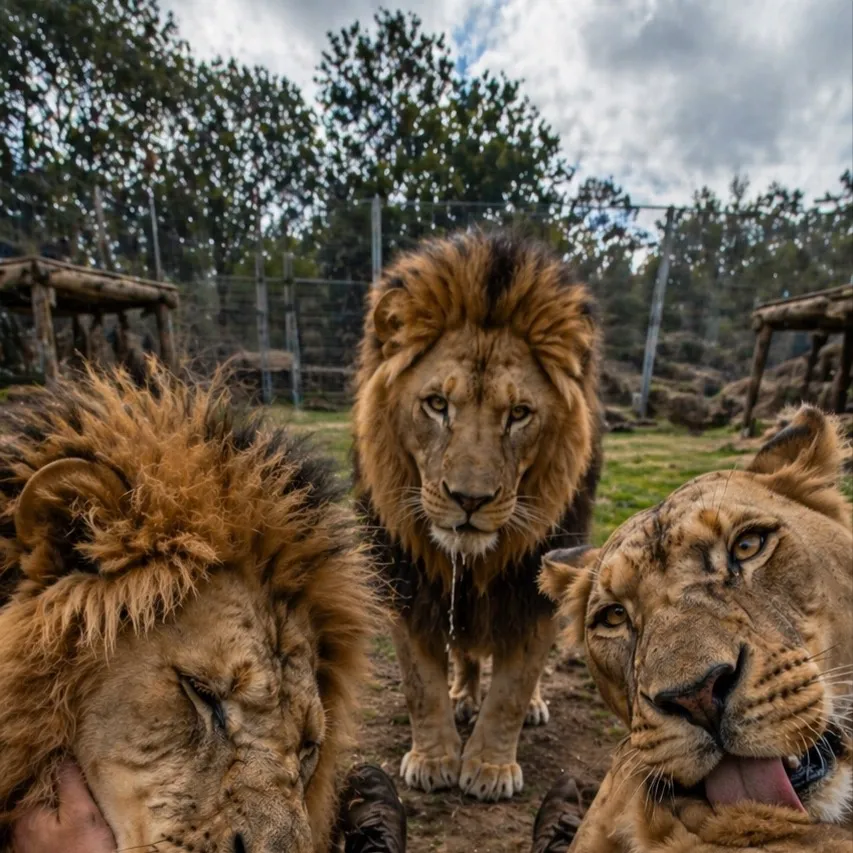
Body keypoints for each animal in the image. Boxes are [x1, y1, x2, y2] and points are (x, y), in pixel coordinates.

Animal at [352, 229, 602, 801]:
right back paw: (463, 695)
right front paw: (434, 757)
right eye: (437, 404)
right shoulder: (408, 584)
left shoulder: (532, 592)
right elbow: (419, 684)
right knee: (466, 652)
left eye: (520, 414)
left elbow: (513, 686)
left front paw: (489, 767)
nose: (470, 499)